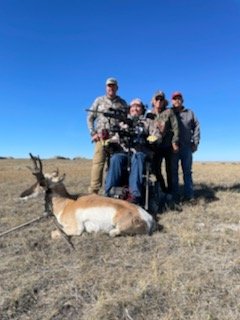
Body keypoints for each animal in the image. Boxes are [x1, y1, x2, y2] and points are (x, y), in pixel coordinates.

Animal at [21, 154, 156, 236]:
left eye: (40, 183)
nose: (22, 195)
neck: (66, 202)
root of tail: (148, 218)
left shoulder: (74, 229)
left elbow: (53, 233)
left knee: (113, 232)